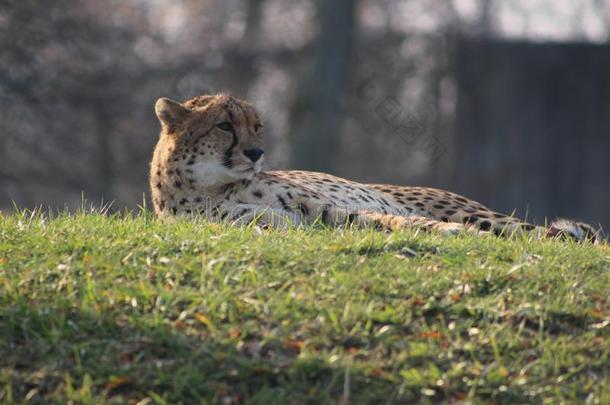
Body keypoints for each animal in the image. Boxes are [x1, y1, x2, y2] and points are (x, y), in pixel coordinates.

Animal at [148, 93, 600, 241]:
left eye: (257, 126)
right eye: (225, 125)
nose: (257, 153)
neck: (214, 185)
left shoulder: (317, 210)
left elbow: (388, 219)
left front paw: (442, 231)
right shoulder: (290, 221)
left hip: (479, 213)